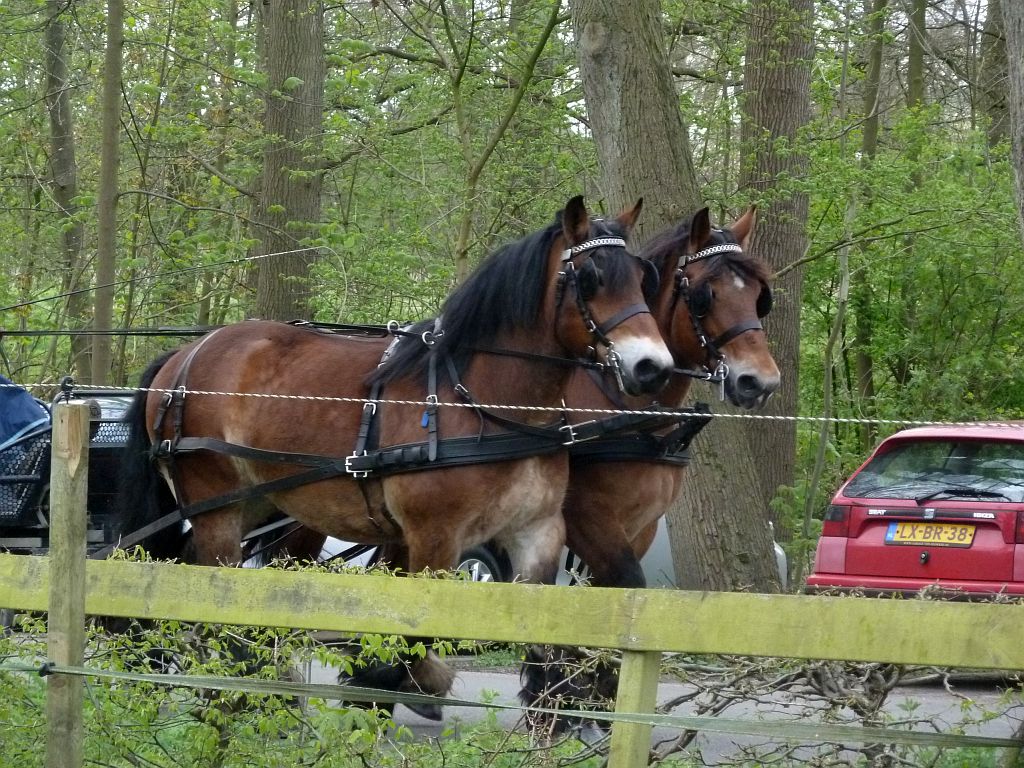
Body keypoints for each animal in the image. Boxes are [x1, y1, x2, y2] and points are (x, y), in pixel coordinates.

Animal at [117, 198, 671, 716]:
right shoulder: (434, 538)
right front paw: (409, 683)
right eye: (591, 277)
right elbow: (419, 635)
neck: (486, 404)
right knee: (210, 595)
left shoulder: (537, 532)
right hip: (217, 505)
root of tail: (184, 356)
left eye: (642, 278)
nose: (653, 367)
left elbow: (539, 633)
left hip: (255, 504)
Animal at [524, 207, 778, 737]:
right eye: (705, 294)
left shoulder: (638, 526)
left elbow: (608, 596)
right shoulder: (584, 518)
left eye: (758, 297)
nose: (760, 382)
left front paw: (594, 702)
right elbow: (619, 587)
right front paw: (552, 704)